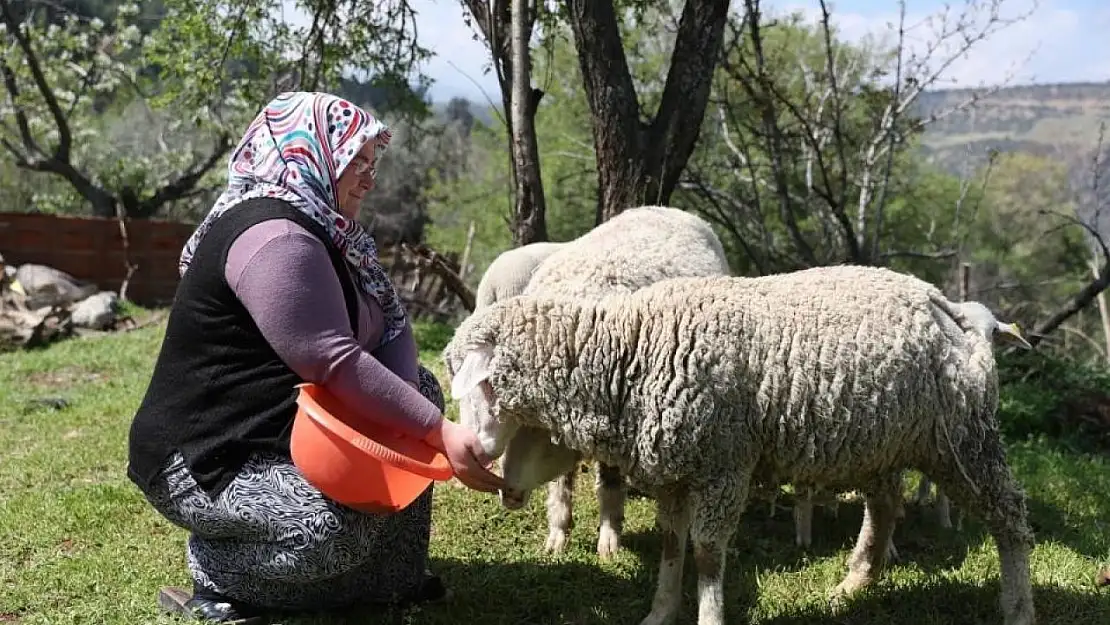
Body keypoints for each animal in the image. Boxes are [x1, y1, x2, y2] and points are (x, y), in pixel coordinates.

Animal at [446, 265, 1034, 625]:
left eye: (476, 383)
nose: (470, 448)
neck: (630, 351)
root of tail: (943, 304)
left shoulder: (723, 465)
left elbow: (707, 553)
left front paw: (707, 615)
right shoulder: (675, 471)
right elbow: (671, 545)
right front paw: (659, 613)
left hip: (962, 439)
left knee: (1010, 516)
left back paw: (1018, 606)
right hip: (880, 442)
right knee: (887, 507)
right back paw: (854, 583)